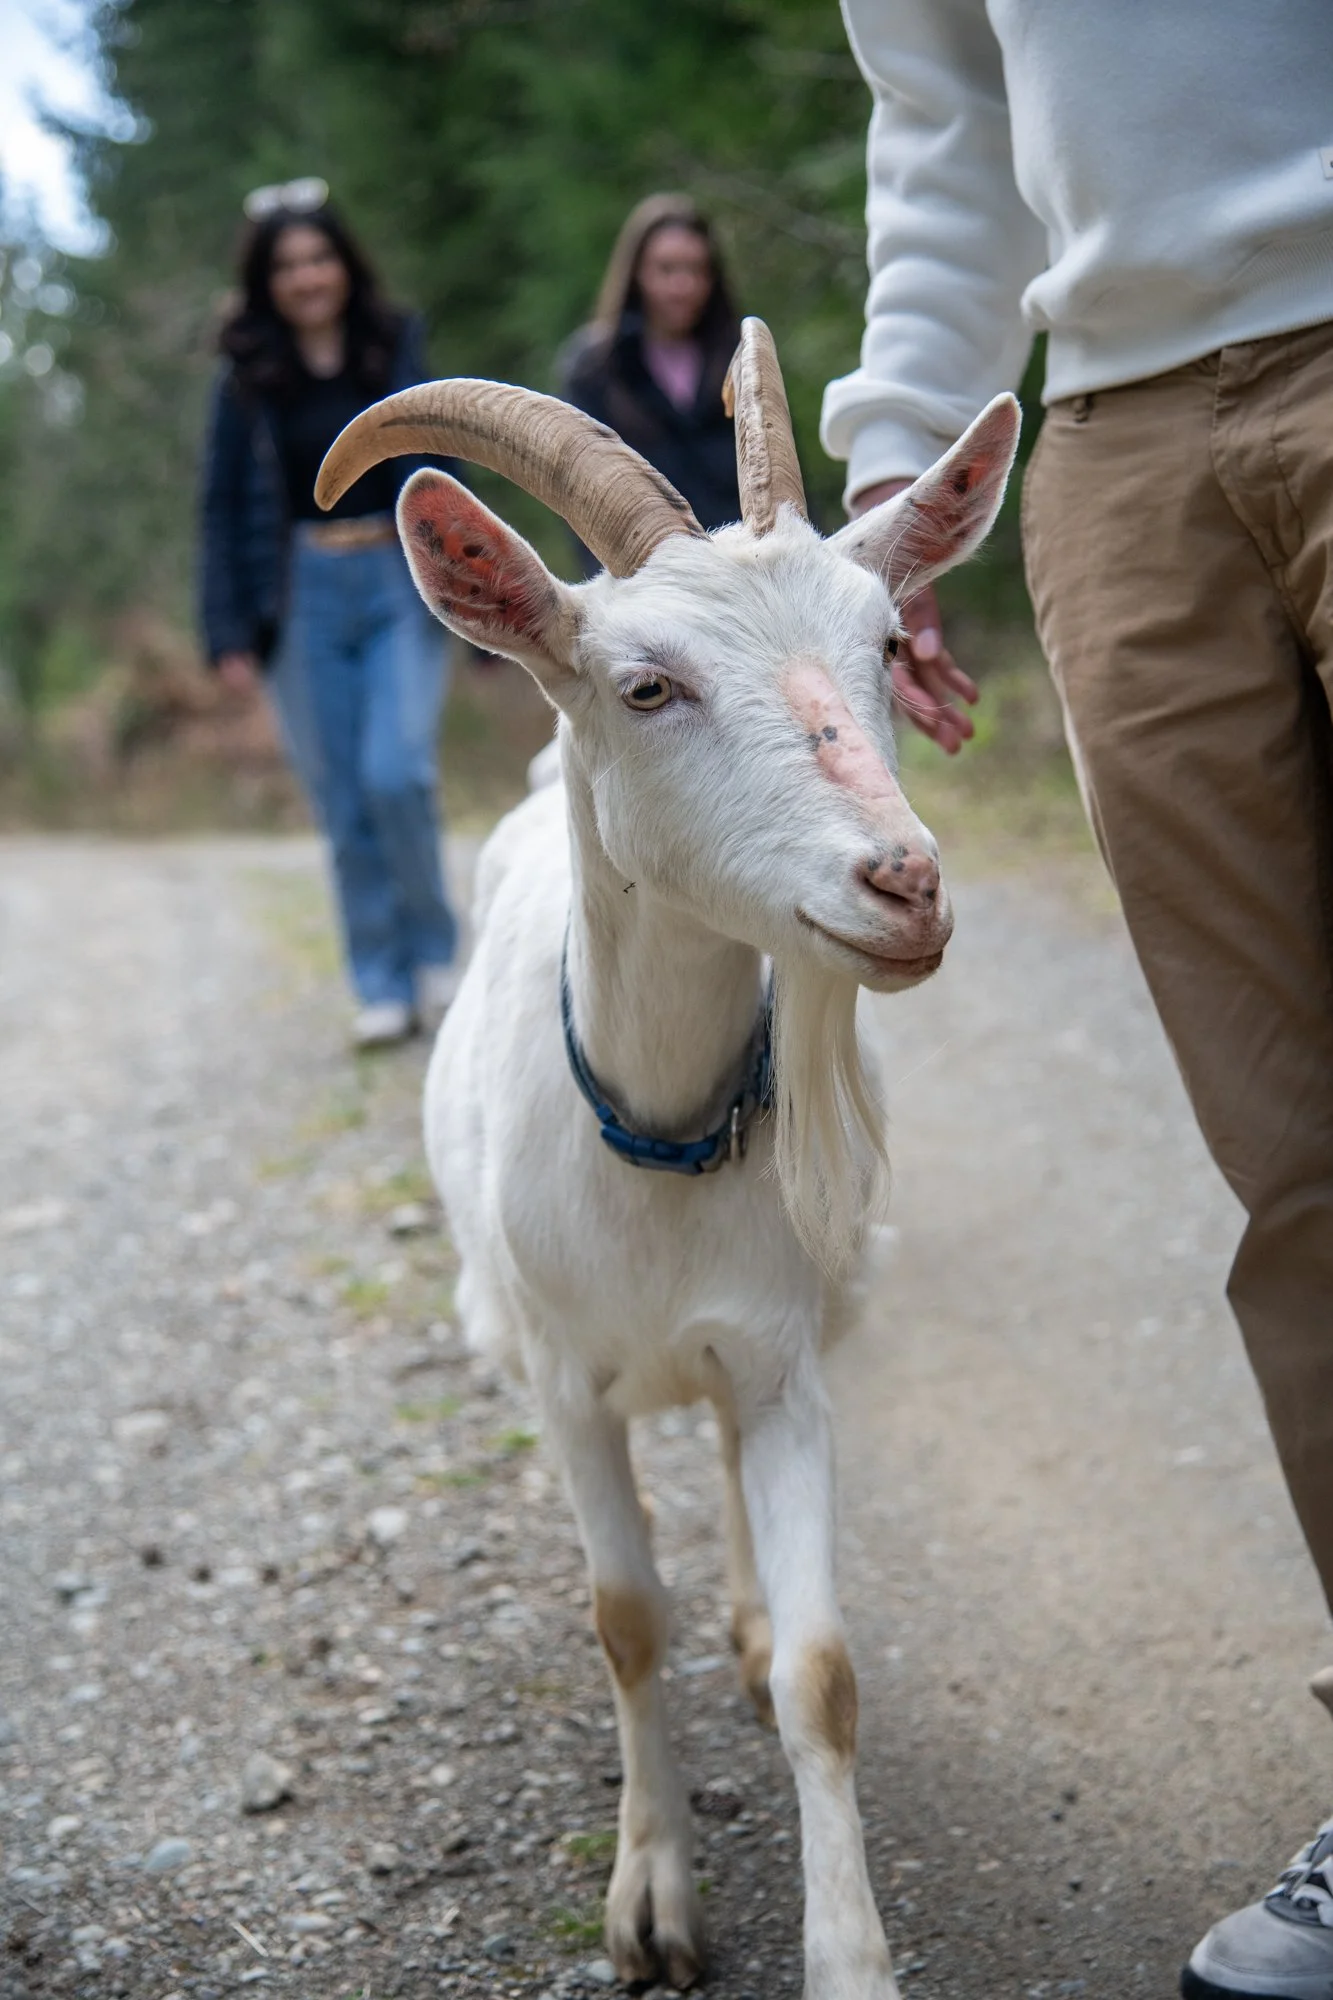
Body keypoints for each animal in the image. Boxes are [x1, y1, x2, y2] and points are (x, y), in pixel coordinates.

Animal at [318, 322, 1019, 2000]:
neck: (655, 1139)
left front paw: (850, 1957)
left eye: (885, 645)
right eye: (645, 685)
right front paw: (650, 1903)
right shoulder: (565, 1384)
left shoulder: (780, 1361)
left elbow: (827, 1674)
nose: (902, 883)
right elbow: (625, 1620)